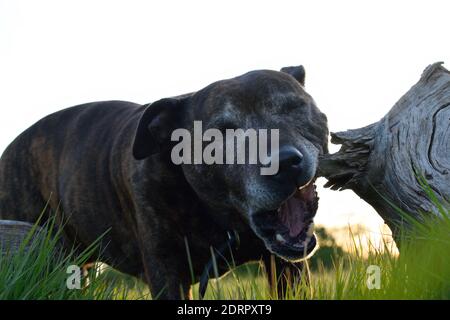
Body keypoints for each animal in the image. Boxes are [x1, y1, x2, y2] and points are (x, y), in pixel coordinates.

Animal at [0, 65, 326, 300]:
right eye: (221, 131)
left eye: (294, 107)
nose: (284, 162)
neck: (218, 215)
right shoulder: (166, 272)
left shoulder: (287, 268)